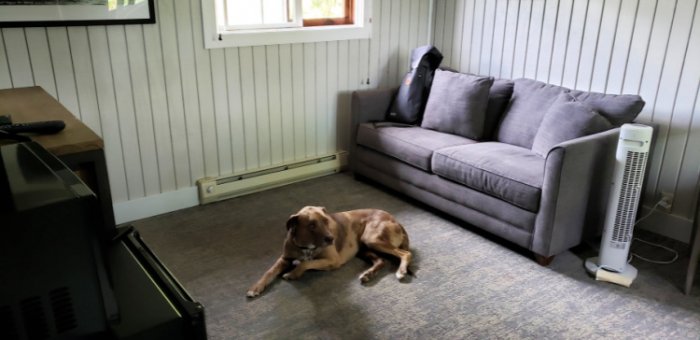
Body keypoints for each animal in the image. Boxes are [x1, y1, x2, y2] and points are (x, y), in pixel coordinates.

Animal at [246, 206, 412, 296]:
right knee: (381, 261)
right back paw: (367, 274)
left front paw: (293, 274)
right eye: (311, 225)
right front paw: (255, 287)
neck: (306, 247)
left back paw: (401, 271)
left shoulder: (333, 260)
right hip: (364, 247)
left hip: (372, 239)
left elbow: (305, 264)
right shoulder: (285, 258)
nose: (331, 238)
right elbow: (269, 272)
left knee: (406, 253)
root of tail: (396, 221)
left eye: (326, 221)